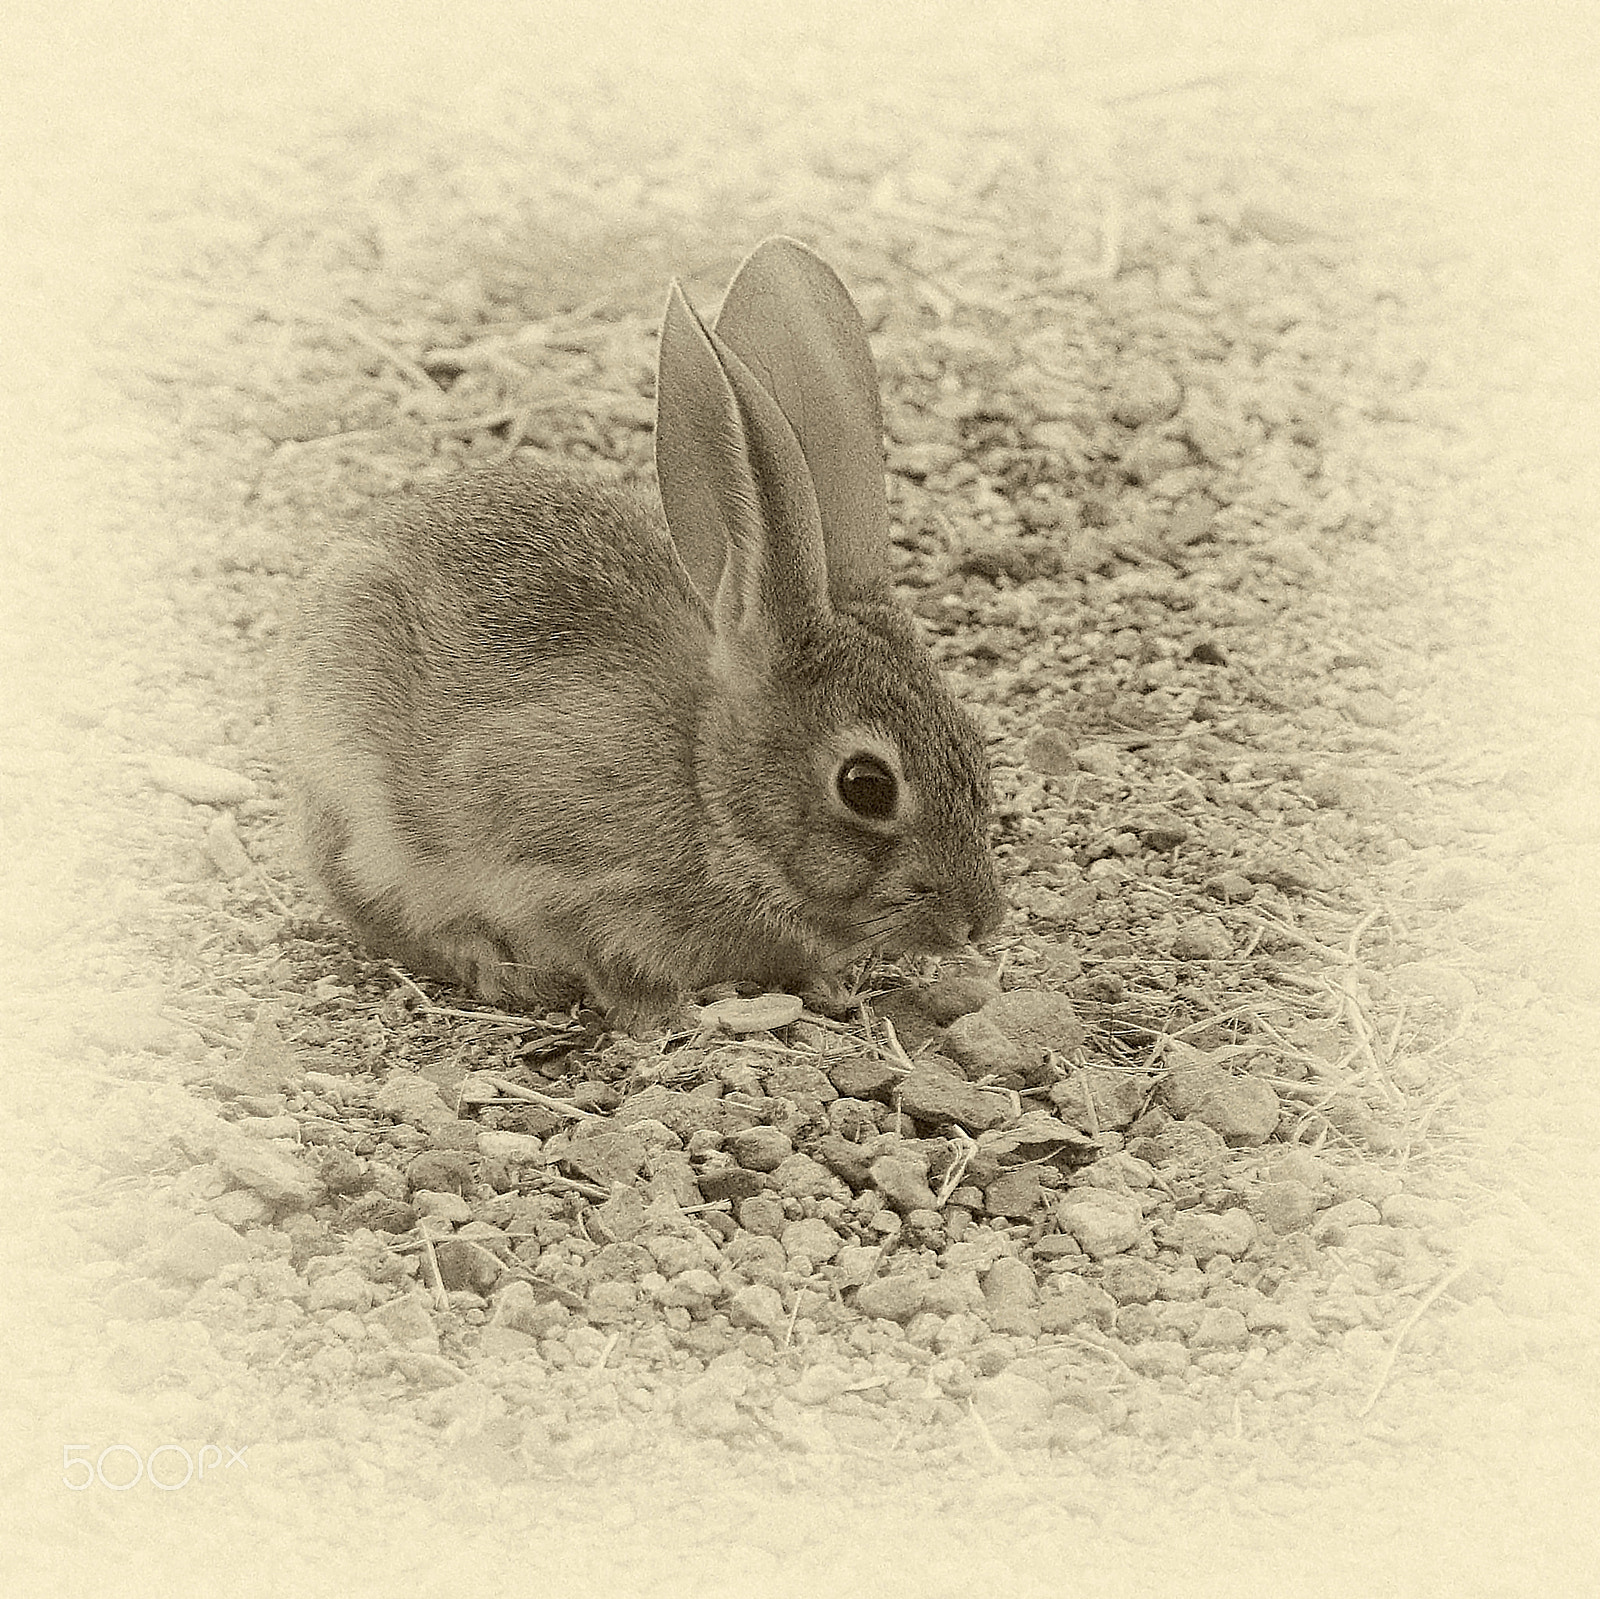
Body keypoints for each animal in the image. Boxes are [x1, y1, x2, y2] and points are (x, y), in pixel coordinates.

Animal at [278, 235, 1004, 1029]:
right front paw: (665, 1016)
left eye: (974, 738)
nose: (981, 919)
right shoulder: (551, 867)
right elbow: (601, 952)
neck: (707, 783)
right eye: (866, 786)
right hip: (357, 796)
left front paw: (824, 985)